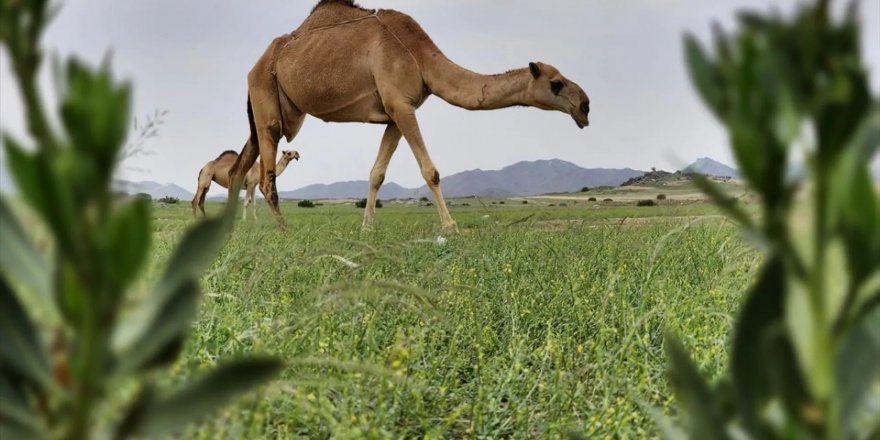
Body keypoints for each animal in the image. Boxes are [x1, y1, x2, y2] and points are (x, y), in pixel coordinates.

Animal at [232, 0, 592, 232]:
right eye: (556, 84)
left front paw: (367, 228)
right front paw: (450, 226)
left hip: (269, 108)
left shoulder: (396, 113)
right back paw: (283, 229)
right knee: (266, 175)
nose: (585, 106)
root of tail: (255, 65)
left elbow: (376, 173)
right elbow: (430, 170)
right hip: (267, 99)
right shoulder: (400, 104)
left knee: (241, 166)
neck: (420, 56)